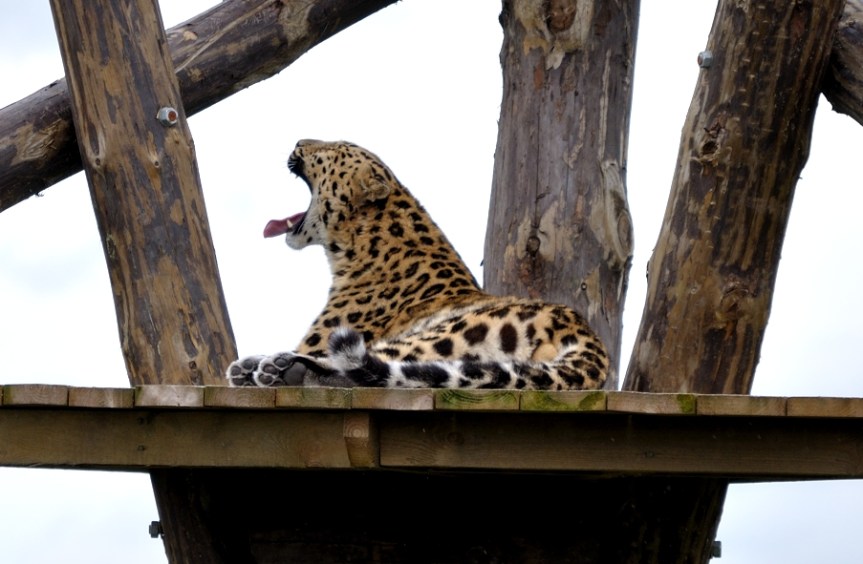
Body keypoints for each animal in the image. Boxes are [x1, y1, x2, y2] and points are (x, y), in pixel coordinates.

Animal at [226, 139, 609, 390]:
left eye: (329, 149)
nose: (298, 142)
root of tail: (588, 338)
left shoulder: (322, 339)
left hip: (440, 335)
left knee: (370, 367)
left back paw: (281, 370)